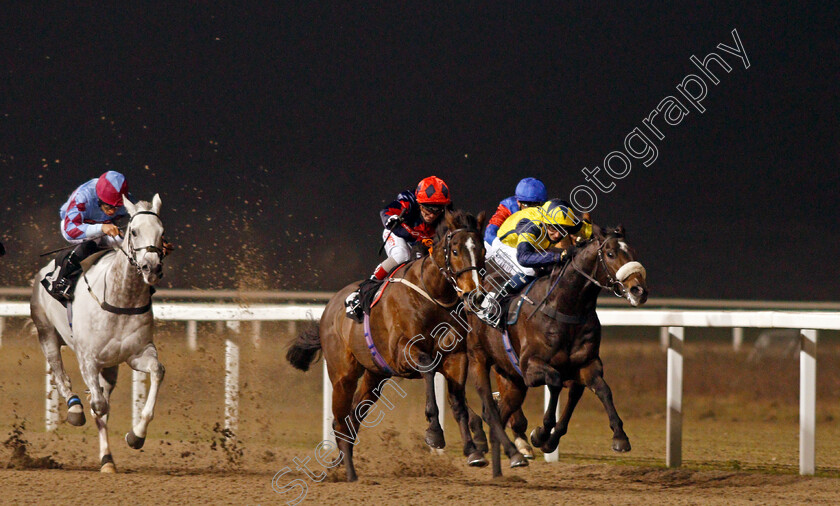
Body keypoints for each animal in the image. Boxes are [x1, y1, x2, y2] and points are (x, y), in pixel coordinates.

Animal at [30, 196, 167, 472]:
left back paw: (107, 459)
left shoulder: (138, 353)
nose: (152, 268)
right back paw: (74, 410)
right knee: (61, 375)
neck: (120, 298)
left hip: (110, 365)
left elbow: (157, 372)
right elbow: (98, 405)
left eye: (162, 233)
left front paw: (136, 435)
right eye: (134, 231)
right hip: (46, 331)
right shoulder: (88, 359)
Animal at [286, 211, 520, 482]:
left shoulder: (455, 356)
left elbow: (458, 400)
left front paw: (473, 449)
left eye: (482, 251)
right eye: (455, 250)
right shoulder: (403, 353)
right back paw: (349, 473)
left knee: (353, 416)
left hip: (374, 377)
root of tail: (329, 309)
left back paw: (339, 464)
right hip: (343, 375)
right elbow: (429, 369)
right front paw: (434, 431)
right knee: (341, 419)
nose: (476, 295)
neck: (432, 295)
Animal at [466, 226, 648, 478]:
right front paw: (541, 434)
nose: (639, 291)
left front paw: (620, 437)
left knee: (501, 415)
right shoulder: (530, 367)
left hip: (513, 379)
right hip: (479, 358)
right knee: (489, 407)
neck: (566, 308)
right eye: (610, 254)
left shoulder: (586, 364)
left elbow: (602, 390)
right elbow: (554, 380)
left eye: (633, 252)